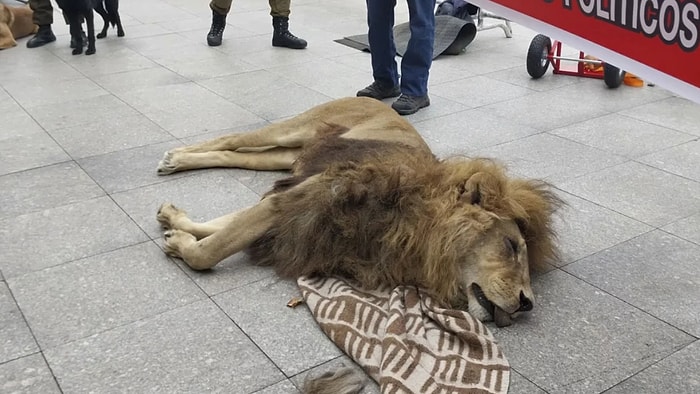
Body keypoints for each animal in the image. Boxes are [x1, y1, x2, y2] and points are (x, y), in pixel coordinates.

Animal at [156, 96, 560, 326]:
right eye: (511, 246)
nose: (527, 303)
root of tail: (380, 101)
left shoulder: (294, 198)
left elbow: (223, 225)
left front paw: (176, 224)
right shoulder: (308, 194)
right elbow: (211, 251)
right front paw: (180, 244)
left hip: (287, 157)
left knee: (235, 154)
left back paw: (177, 166)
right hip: (293, 131)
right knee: (233, 139)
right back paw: (175, 157)